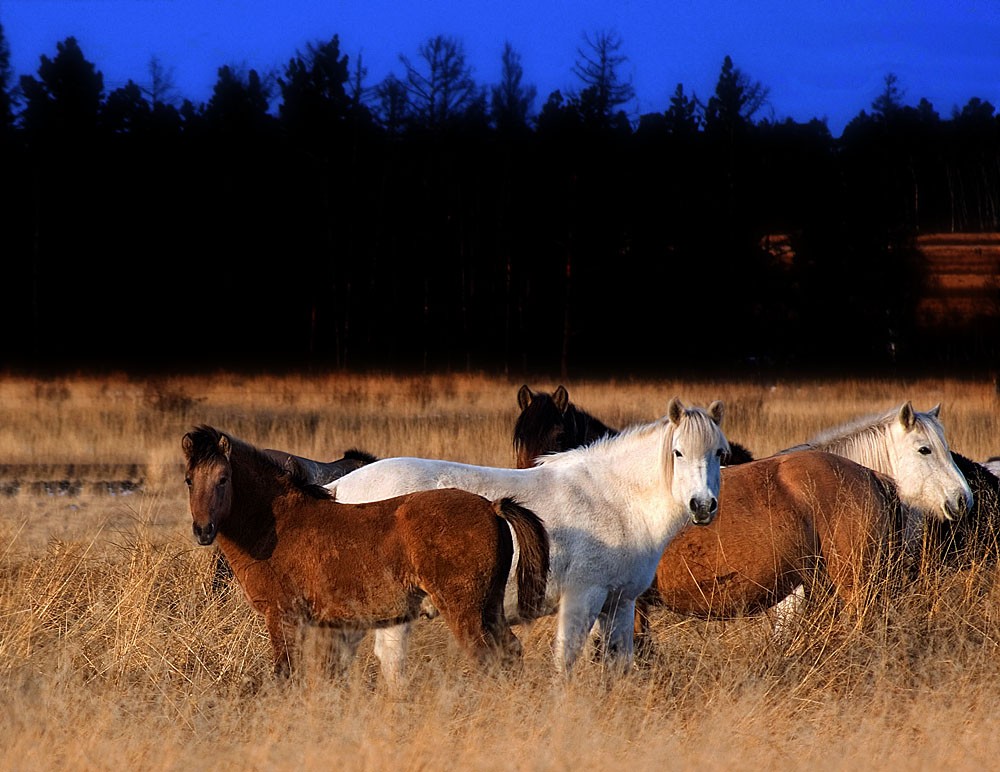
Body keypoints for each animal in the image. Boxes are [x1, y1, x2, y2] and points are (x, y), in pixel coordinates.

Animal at [182, 425, 550, 690]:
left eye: (223, 479)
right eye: (188, 480)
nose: (203, 530)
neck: (278, 526)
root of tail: (491, 507)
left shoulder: (283, 617)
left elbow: (285, 675)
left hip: (465, 612)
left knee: (486, 659)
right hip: (490, 608)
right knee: (511, 653)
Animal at [327, 397, 730, 677]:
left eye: (719, 453)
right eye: (678, 452)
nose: (702, 505)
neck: (613, 497)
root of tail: (336, 490)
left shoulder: (620, 603)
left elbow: (617, 664)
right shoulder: (582, 598)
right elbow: (566, 662)